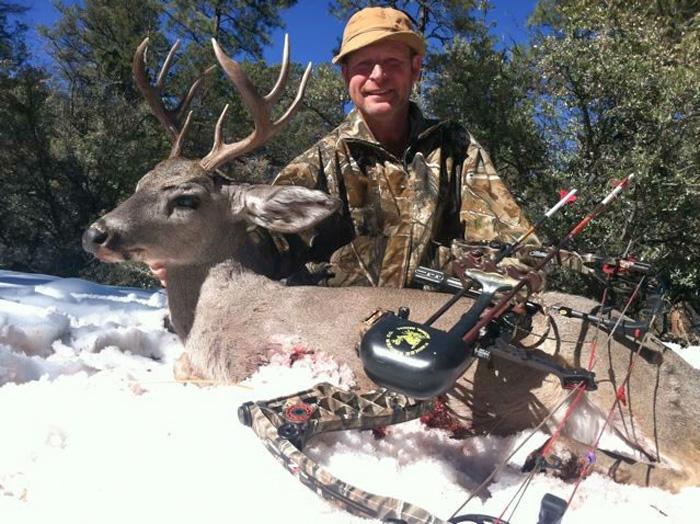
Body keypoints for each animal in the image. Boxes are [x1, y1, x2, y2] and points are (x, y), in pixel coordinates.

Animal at [82, 36, 700, 493]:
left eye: (186, 198)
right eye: (139, 182)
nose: (97, 232)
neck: (219, 309)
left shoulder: (257, 363)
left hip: (642, 391)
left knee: (683, 467)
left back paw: (574, 460)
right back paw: (558, 455)